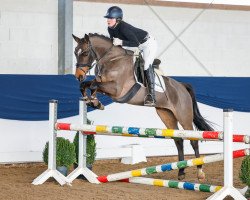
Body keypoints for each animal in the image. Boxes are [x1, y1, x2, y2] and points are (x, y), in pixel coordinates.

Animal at [72, 32, 213, 181]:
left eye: (85, 53)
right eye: (75, 52)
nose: (78, 75)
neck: (112, 60)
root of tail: (182, 86)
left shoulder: (116, 90)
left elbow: (94, 85)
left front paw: (94, 101)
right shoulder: (104, 85)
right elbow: (87, 85)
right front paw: (92, 101)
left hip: (183, 116)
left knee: (193, 140)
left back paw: (200, 172)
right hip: (166, 115)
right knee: (178, 140)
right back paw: (181, 172)